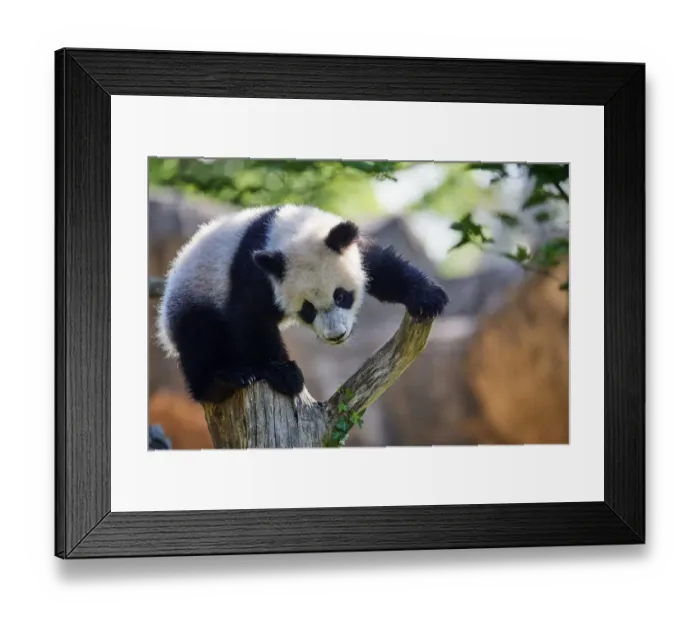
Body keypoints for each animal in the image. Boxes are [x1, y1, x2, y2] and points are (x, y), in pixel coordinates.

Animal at [156, 204, 449, 405]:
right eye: (308, 308)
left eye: (341, 295)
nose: (336, 335)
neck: (288, 230)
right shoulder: (254, 274)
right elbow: (250, 319)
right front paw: (285, 374)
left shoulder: (348, 248)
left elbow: (383, 268)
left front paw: (428, 297)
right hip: (192, 297)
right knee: (200, 337)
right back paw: (224, 380)